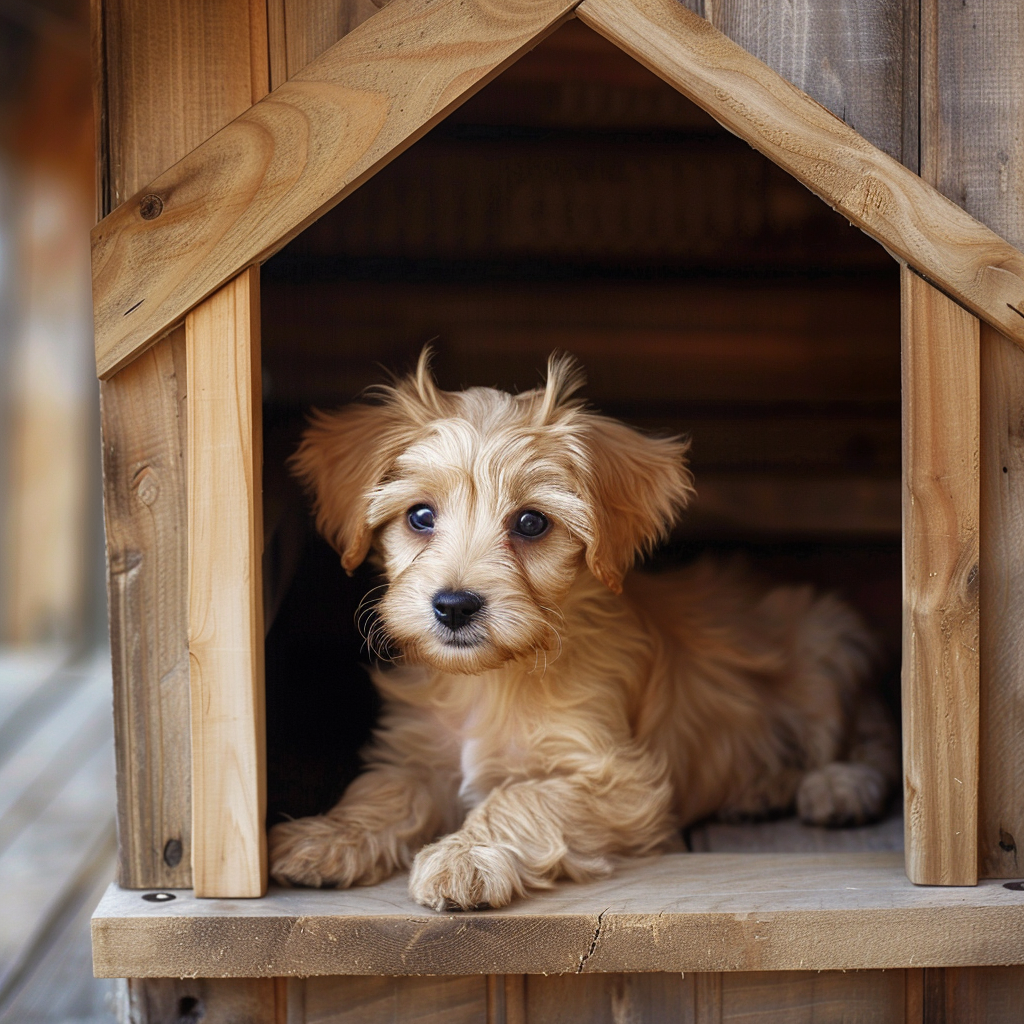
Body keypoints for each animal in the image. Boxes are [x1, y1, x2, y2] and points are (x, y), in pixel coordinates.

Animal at [270, 354, 897, 913]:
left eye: (531, 522)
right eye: (420, 516)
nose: (453, 606)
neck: (493, 679)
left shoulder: (621, 782)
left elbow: (522, 796)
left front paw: (465, 856)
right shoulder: (417, 755)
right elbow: (382, 792)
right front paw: (327, 836)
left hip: (825, 651)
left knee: (867, 743)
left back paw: (835, 787)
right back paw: (759, 788)